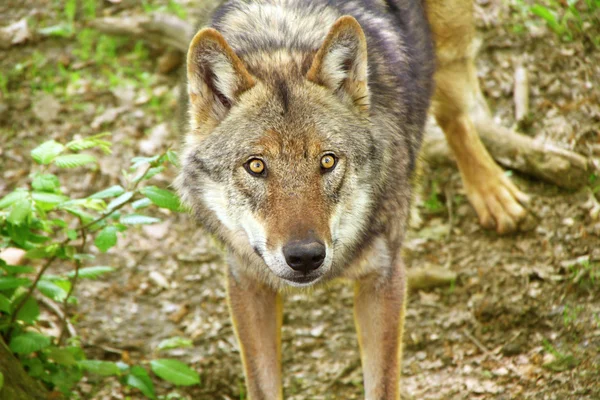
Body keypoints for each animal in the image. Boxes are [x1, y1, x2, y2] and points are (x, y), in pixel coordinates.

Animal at [177, 0, 528, 396]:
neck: (283, 41)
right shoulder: (247, 281)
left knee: (454, 112)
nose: (305, 257)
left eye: (328, 161)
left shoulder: (383, 277)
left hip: (449, 41)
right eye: (256, 166)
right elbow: (262, 387)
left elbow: (383, 385)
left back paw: (492, 192)